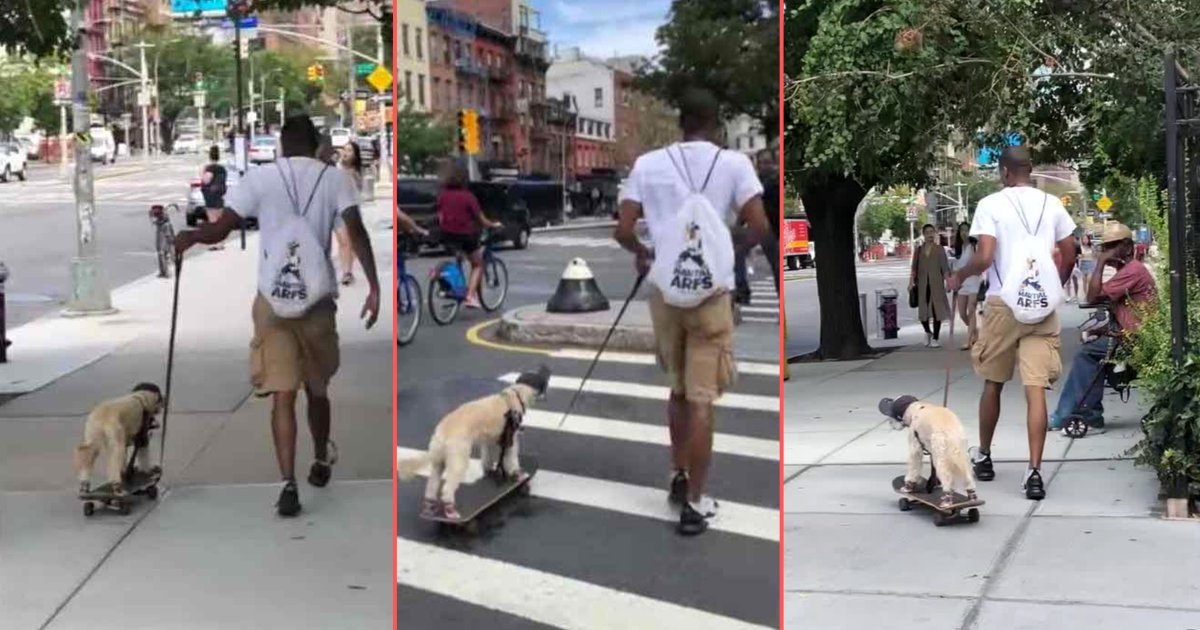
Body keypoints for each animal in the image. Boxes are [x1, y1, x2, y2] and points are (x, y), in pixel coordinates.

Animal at [396, 364, 549, 518]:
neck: (515, 394)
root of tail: (442, 432)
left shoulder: (490, 440)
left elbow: (488, 457)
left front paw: (491, 471)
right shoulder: (511, 438)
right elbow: (511, 459)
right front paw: (518, 475)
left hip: (438, 462)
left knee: (432, 485)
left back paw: (429, 506)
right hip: (459, 460)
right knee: (447, 488)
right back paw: (450, 509)